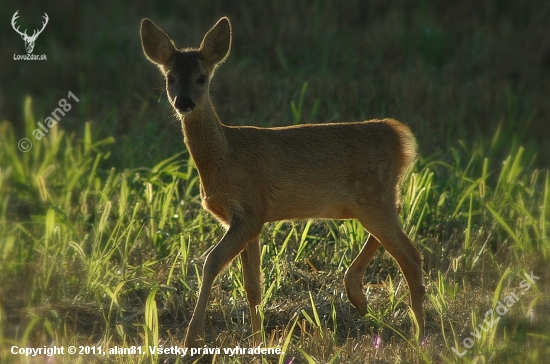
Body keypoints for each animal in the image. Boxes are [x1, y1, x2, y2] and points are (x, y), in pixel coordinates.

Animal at [141, 16, 426, 346]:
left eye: (202, 78)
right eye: (170, 78)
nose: (184, 102)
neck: (225, 154)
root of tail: (399, 137)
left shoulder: (250, 209)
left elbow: (212, 262)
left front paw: (192, 338)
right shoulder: (245, 219)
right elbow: (252, 286)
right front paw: (257, 342)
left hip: (373, 198)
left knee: (411, 257)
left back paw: (419, 335)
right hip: (370, 201)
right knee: (399, 229)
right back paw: (358, 297)